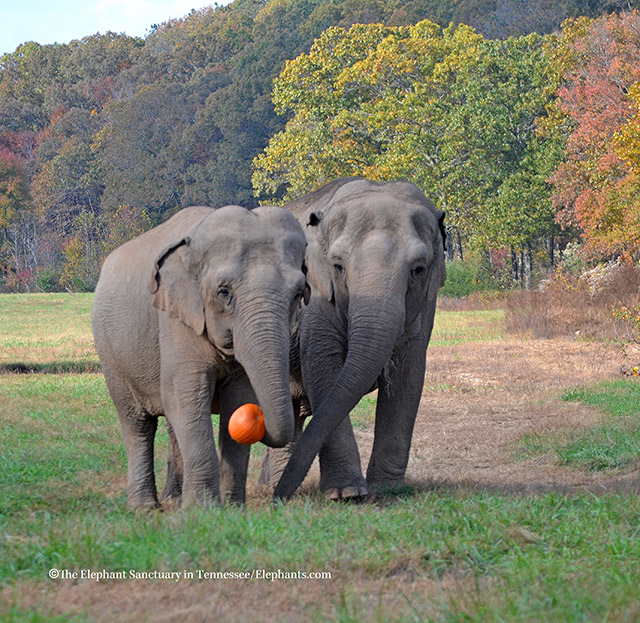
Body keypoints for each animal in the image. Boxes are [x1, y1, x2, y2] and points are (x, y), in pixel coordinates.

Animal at [91, 202, 308, 510]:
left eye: (298, 294)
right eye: (224, 292)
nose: (259, 418)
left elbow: (238, 397)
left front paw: (232, 508)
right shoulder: (176, 318)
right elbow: (186, 395)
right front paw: (203, 510)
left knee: (170, 423)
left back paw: (172, 498)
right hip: (110, 352)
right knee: (137, 422)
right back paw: (145, 507)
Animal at [268, 176, 444, 502]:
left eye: (418, 269)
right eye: (337, 266)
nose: (277, 501)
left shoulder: (426, 306)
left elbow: (408, 378)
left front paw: (388, 490)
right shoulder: (316, 299)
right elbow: (324, 369)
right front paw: (345, 494)